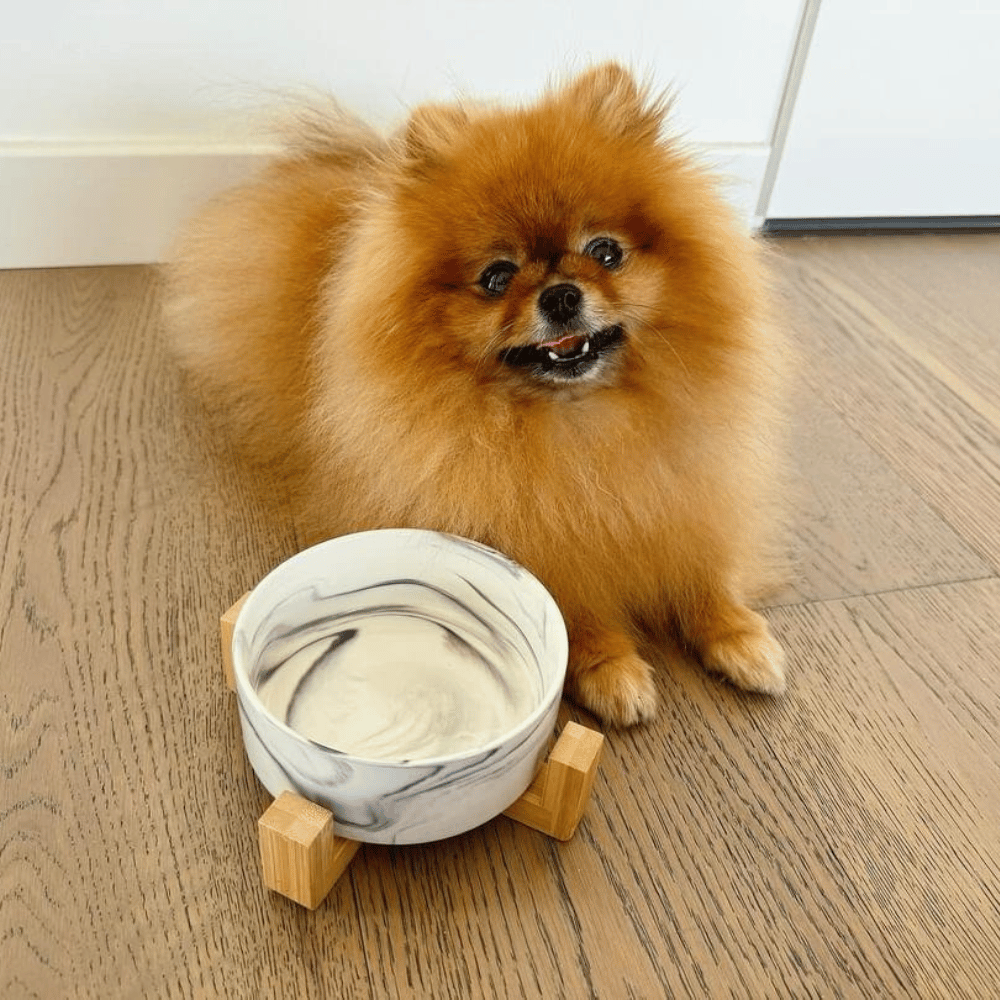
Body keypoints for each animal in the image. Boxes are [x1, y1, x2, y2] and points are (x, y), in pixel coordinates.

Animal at [164, 64, 788, 728]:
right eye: (496, 278)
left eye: (605, 252)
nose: (561, 294)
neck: (580, 426)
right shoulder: (528, 536)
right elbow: (570, 602)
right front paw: (611, 668)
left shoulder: (686, 491)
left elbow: (707, 572)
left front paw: (741, 637)